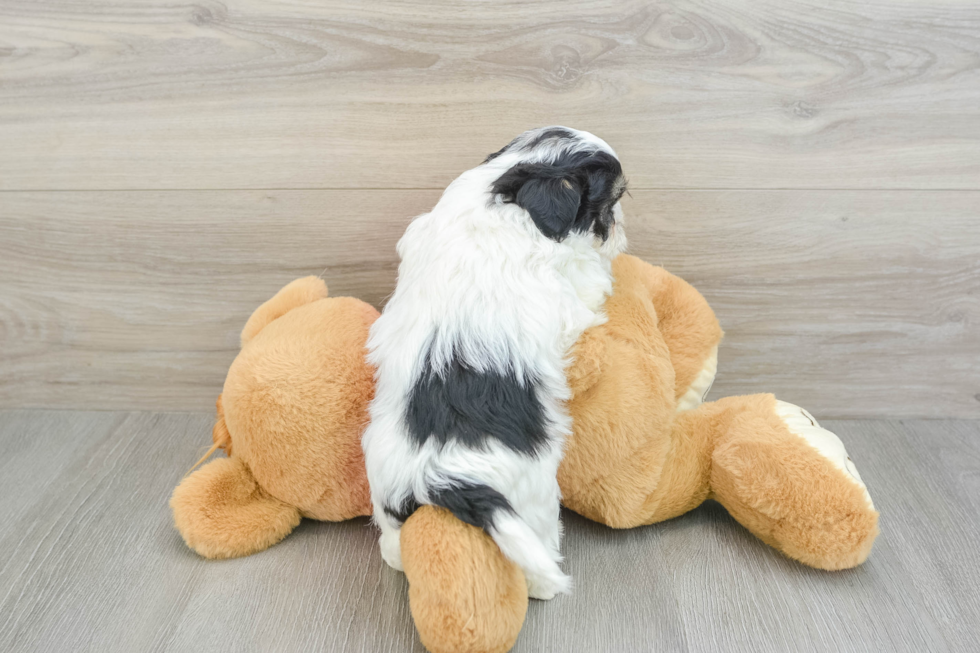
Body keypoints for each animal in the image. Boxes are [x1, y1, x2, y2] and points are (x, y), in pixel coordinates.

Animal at [360, 125, 628, 600]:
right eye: (608, 206)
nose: (622, 229)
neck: (504, 192)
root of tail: (437, 478)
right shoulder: (568, 290)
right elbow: (591, 287)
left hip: (386, 481)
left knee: (392, 536)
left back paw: (395, 556)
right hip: (533, 492)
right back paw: (543, 582)